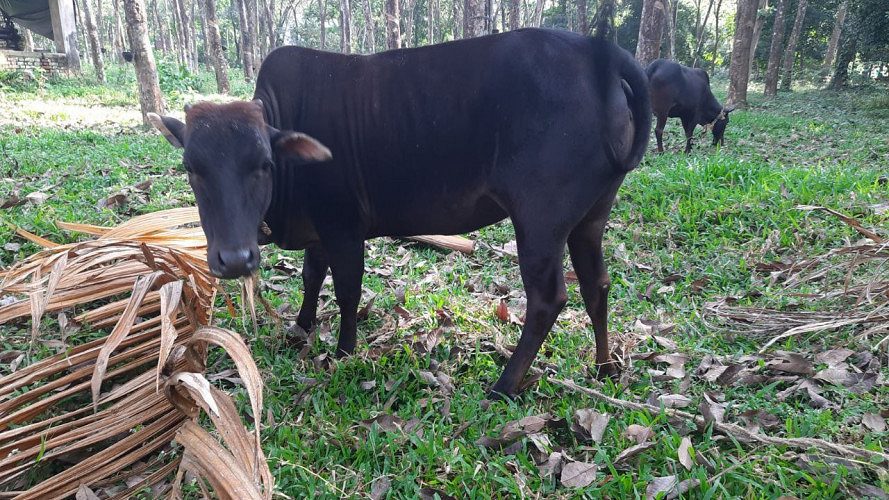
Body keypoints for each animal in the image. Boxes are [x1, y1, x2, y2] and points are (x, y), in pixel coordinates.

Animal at [147, 27, 651, 398]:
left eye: (263, 165)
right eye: (192, 168)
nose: (235, 259)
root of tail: (597, 50)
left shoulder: (344, 227)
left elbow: (347, 290)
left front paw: (344, 349)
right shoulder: (319, 231)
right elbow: (311, 278)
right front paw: (302, 327)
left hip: (540, 222)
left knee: (549, 298)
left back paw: (505, 384)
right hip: (589, 218)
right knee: (596, 286)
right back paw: (605, 367)